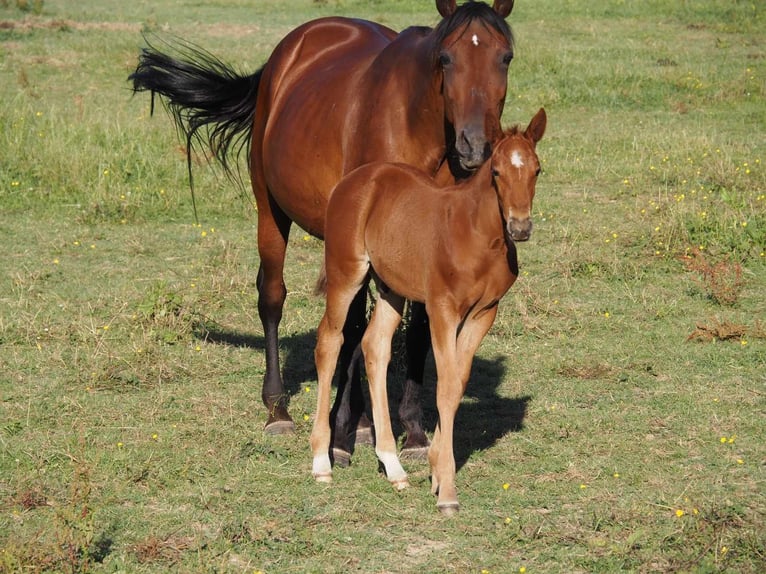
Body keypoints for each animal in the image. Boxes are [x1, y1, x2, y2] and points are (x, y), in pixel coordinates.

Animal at [130, 0, 516, 460]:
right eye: (445, 58)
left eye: (505, 58)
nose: (475, 146)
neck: (415, 129)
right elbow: (352, 329)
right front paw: (343, 433)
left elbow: (417, 331)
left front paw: (413, 432)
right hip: (271, 210)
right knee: (274, 297)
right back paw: (278, 409)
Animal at [310, 110, 544, 516]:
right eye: (496, 171)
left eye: (537, 170)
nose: (520, 227)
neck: (477, 235)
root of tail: (353, 181)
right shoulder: (441, 309)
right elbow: (446, 386)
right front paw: (447, 489)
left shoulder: (485, 313)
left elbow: (458, 383)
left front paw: (434, 469)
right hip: (346, 273)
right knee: (329, 342)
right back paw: (322, 462)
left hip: (391, 288)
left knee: (375, 347)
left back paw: (393, 468)